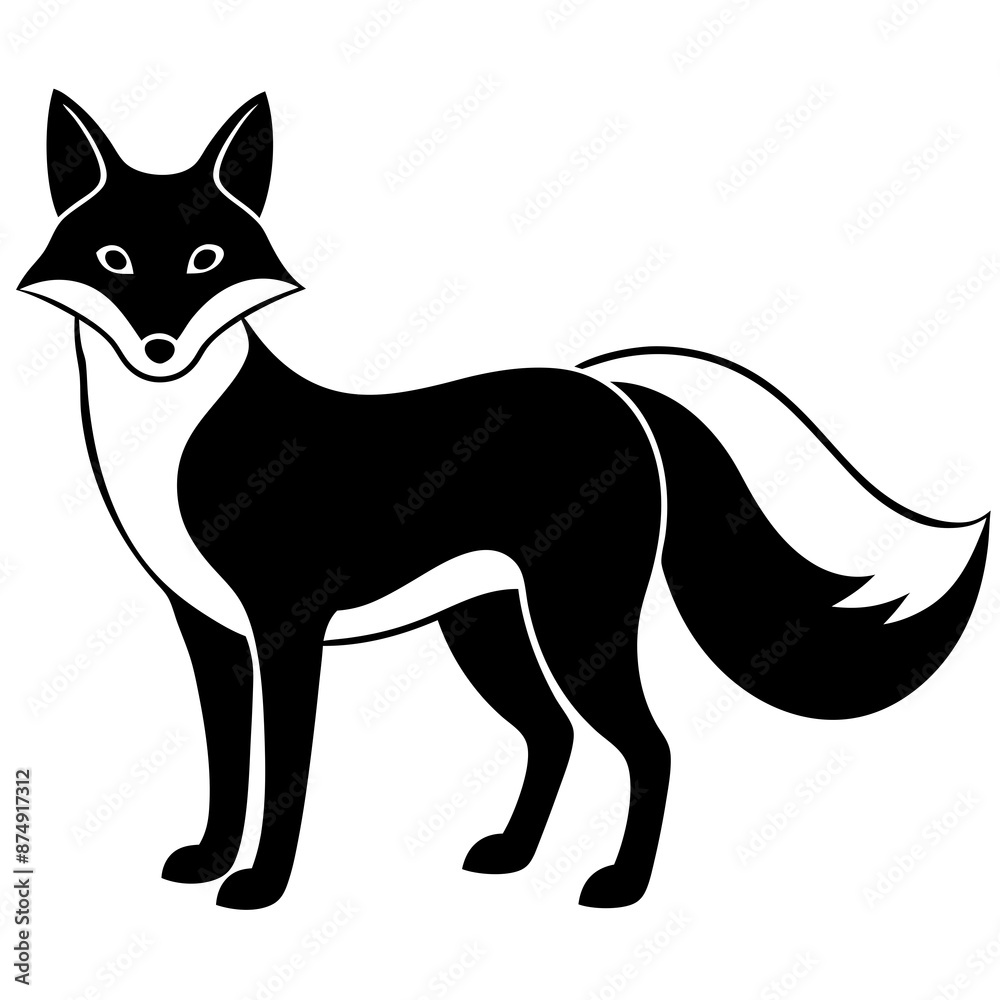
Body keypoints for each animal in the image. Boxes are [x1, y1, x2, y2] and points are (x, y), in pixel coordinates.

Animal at [20, 90, 989, 910]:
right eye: (113, 259)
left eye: (206, 259)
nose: (159, 346)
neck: (177, 434)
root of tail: (611, 388)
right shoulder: (207, 627)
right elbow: (227, 762)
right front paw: (208, 861)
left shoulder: (286, 626)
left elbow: (284, 772)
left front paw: (260, 887)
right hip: (485, 624)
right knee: (553, 736)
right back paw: (514, 855)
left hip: (574, 618)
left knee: (648, 744)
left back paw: (621, 886)